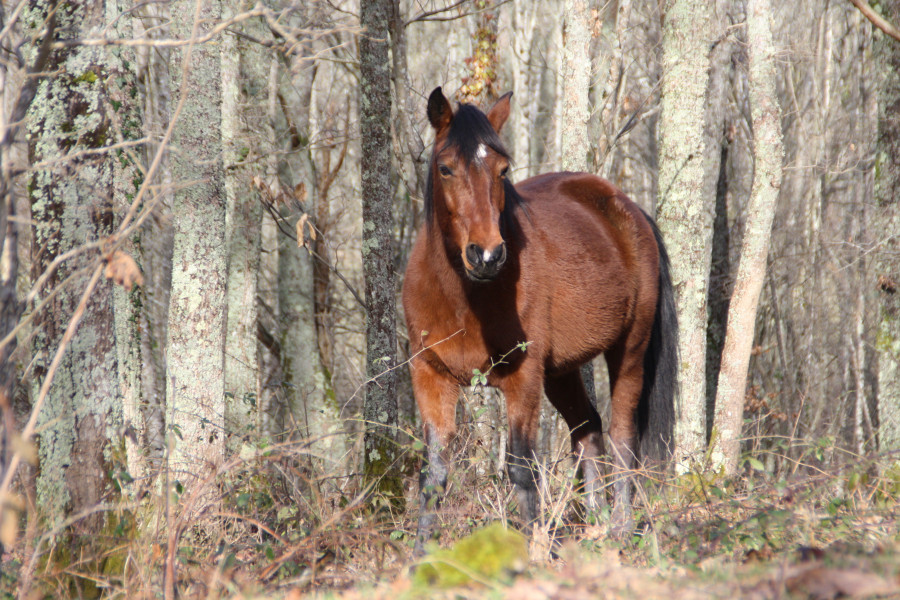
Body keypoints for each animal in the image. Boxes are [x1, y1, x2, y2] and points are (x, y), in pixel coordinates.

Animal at [404, 85, 680, 552]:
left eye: (502, 169)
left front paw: (532, 548)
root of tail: (627, 208)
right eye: (445, 168)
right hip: (562, 372)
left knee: (623, 437)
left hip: (628, 351)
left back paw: (620, 529)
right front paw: (420, 556)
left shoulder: (523, 379)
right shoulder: (431, 376)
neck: (462, 297)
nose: (487, 255)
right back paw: (596, 527)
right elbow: (434, 476)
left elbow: (521, 468)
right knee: (588, 430)